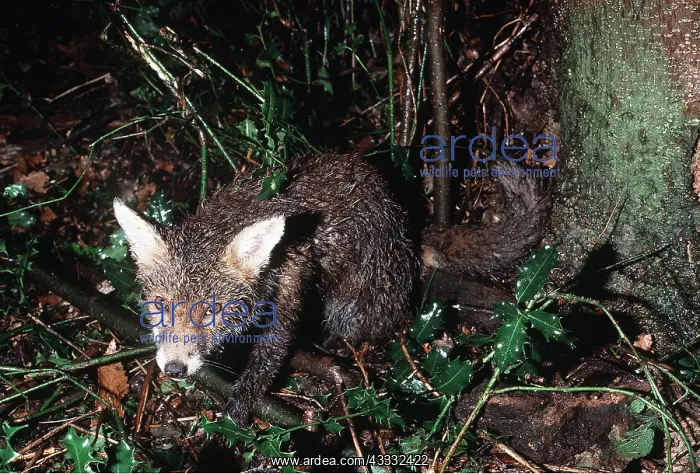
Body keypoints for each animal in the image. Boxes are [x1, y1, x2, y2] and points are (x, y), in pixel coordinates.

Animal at [114, 154, 549, 425]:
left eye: (210, 312)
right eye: (159, 307)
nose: (174, 369)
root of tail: (409, 233)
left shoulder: (290, 282)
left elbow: (271, 355)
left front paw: (241, 403)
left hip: (355, 306)